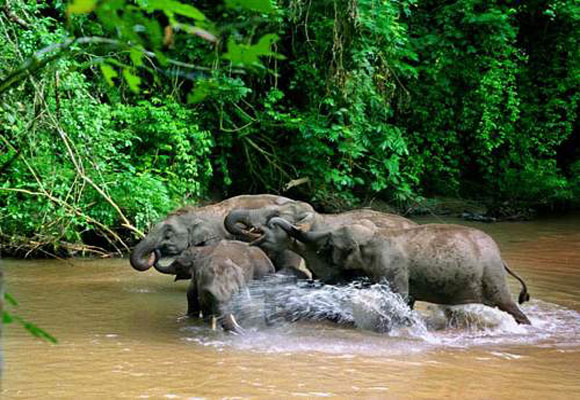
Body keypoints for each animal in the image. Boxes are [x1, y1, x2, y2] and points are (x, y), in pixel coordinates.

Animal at [253, 217, 532, 325]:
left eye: (330, 243)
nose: (273, 223)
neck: (377, 236)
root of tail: (501, 258)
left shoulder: (393, 266)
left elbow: (399, 296)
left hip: (491, 275)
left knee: (507, 304)